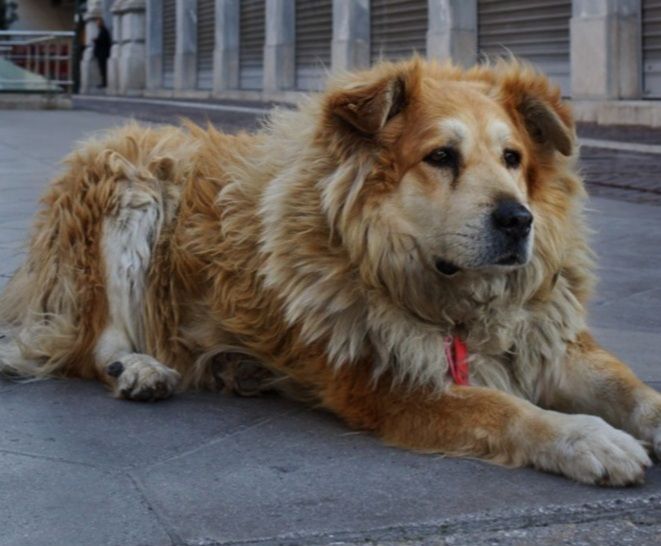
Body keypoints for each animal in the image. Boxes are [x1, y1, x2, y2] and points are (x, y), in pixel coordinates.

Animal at [1, 60, 660, 484]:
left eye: (513, 158)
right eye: (441, 156)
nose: (519, 220)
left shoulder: (550, 337)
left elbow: (627, 386)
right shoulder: (386, 383)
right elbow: (506, 409)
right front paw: (586, 437)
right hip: (127, 185)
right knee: (93, 345)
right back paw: (137, 368)